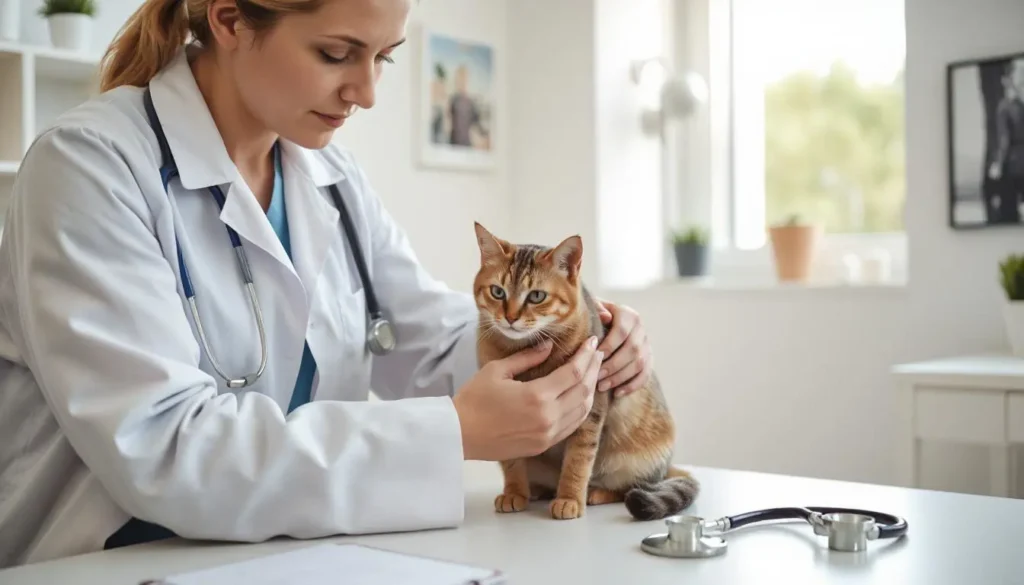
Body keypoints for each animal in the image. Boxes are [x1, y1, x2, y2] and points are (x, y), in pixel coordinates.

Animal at [468, 222, 696, 520]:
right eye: (497, 292)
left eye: (536, 296)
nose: (510, 318)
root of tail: (667, 467)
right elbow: (512, 460)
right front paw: (514, 492)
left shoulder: (592, 405)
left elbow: (578, 458)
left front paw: (569, 498)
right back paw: (536, 489)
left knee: (633, 486)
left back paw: (596, 493)